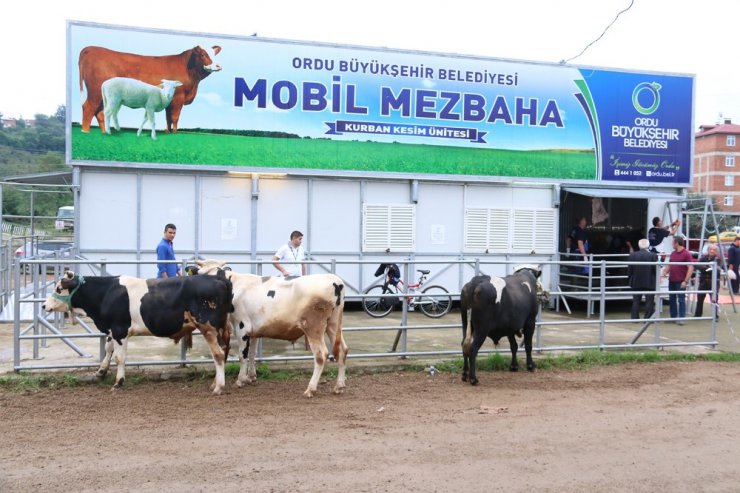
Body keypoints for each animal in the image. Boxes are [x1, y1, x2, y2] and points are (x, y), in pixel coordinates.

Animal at [42, 270, 231, 394]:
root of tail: (219, 279)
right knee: (223, 352)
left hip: (208, 328)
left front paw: (118, 382)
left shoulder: (120, 330)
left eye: (58, 288)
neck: (106, 293)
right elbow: (108, 349)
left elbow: (119, 357)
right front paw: (101, 371)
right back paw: (215, 383)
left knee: (218, 354)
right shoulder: (112, 330)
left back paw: (218, 387)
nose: (44, 305)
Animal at [195, 260, 348, 398]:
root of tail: (334, 280)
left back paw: (310, 389)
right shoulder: (253, 332)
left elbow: (242, 355)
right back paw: (339, 387)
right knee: (342, 350)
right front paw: (250, 377)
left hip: (313, 327)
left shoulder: (241, 326)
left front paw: (240, 381)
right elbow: (252, 354)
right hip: (333, 325)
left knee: (321, 355)